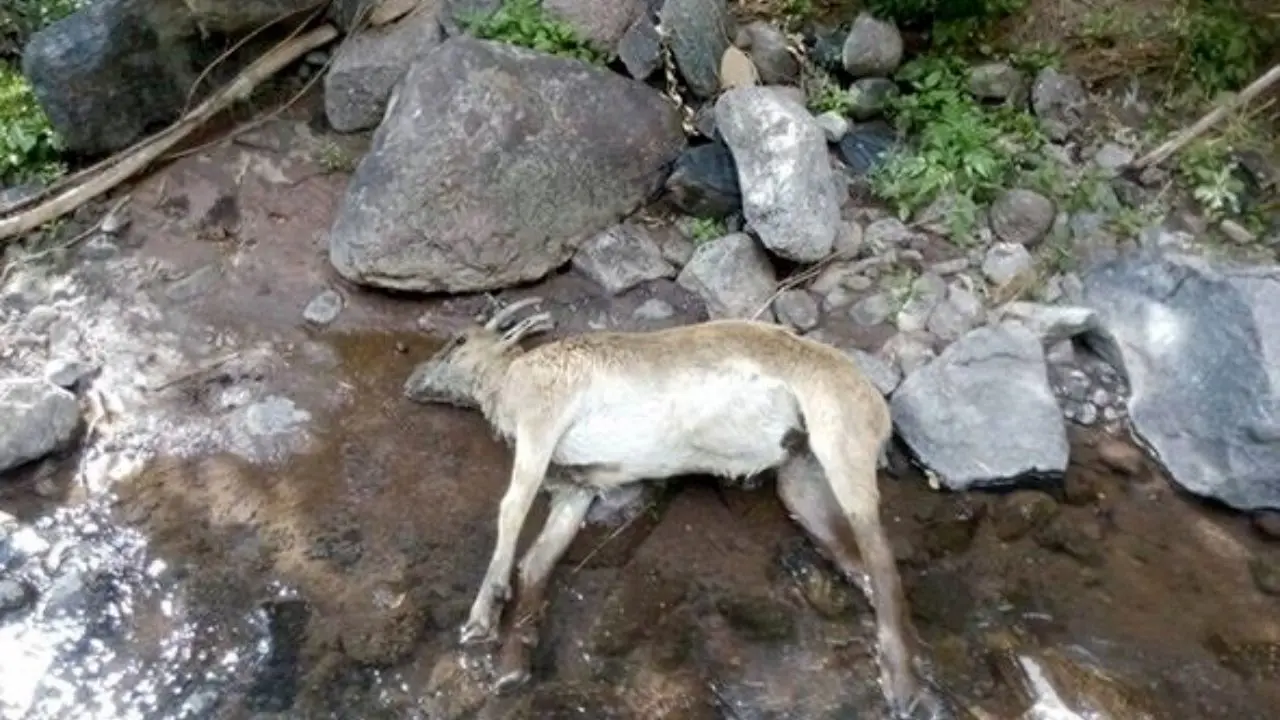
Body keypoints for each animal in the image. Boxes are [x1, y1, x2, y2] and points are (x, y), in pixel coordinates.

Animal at [404, 294, 947, 712]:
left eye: (458, 342)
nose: (411, 383)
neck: (508, 380)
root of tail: (876, 404)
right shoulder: (577, 491)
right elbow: (538, 561)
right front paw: (513, 667)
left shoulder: (542, 420)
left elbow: (512, 510)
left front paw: (481, 619)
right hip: (802, 477)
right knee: (859, 563)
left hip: (841, 441)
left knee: (881, 557)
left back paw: (901, 685)